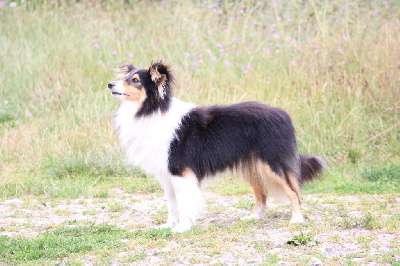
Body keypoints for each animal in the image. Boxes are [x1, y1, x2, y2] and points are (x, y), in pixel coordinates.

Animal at [108, 61, 326, 232]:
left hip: (272, 163)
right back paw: (253, 217)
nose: (110, 84)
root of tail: (283, 114)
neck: (152, 110)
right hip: (252, 165)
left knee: (293, 191)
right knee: (261, 194)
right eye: (126, 77)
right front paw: (169, 225)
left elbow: (184, 202)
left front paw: (182, 227)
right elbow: (171, 203)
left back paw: (297, 219)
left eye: (136, 80)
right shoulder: (167, 174)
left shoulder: (180, 172)